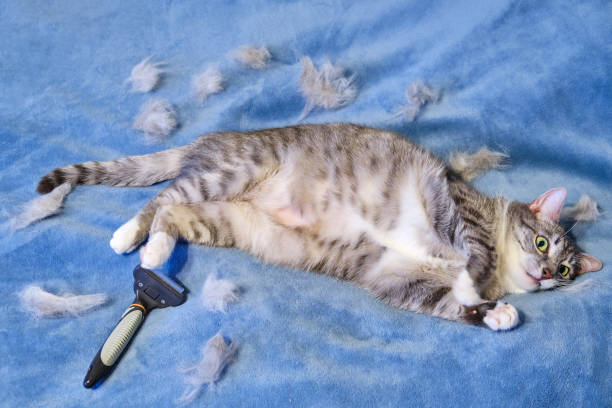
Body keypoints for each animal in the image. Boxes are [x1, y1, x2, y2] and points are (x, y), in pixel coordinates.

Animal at [37, 122, 604, 330]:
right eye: (542, 241)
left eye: (568, 271)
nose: (547, 274)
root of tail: (211, 137)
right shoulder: (458, 210)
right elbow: (475, 257)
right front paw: (476, 285)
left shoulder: (396, 280)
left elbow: (448, 305)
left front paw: (496, 313)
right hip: (229, 174)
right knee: (161, 198)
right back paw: (130, 238)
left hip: (225, 220)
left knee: (173, 214)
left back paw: (154, 254)